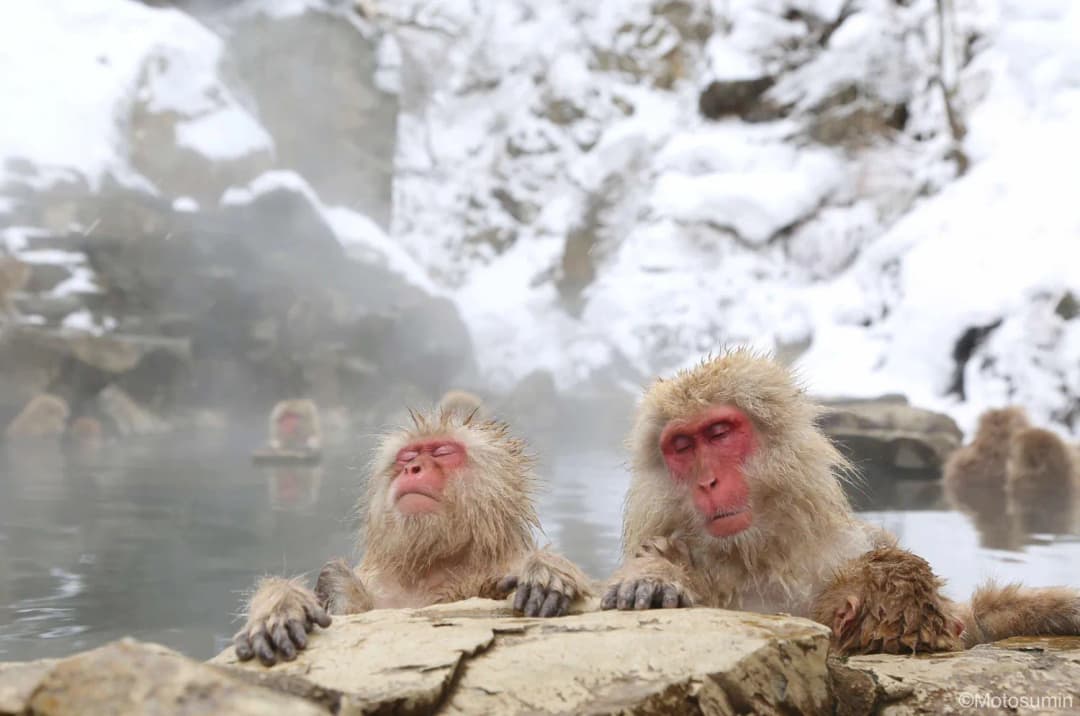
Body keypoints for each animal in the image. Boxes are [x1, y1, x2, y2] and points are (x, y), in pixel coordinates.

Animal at [233, 409, 592, 666]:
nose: (413, 469)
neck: (427, 568)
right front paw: (282, 605)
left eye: (443, 451)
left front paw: (546, 569)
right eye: (407, 457)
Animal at [599, 349, 1080, 655]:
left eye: (718, 433)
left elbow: (963, 622)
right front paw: (651, 578)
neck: (760, 555)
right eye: (681, 446)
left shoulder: (857, 545)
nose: (707, 482)